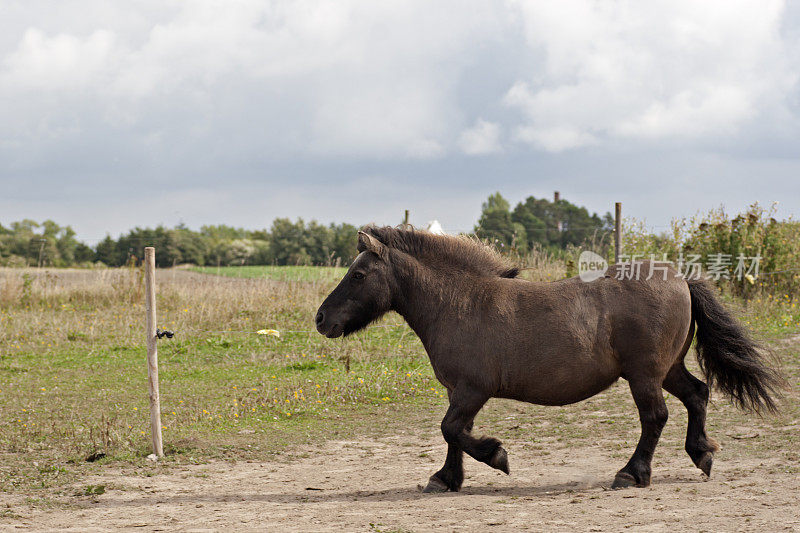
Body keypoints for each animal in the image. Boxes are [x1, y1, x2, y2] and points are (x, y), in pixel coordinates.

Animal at [314, 224, 780, 490]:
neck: (458, 303)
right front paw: (445, 480)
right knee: (698, 395)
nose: (321, 319)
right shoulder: (458, 392)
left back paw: (632, 474)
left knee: (656, 417)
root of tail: (680, 276)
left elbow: (452, 430)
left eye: (359, 274)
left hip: (645, 375)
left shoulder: (473, 389)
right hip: (668, 369)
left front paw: (497, 457)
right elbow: (453, 434)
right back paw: (702, 455)